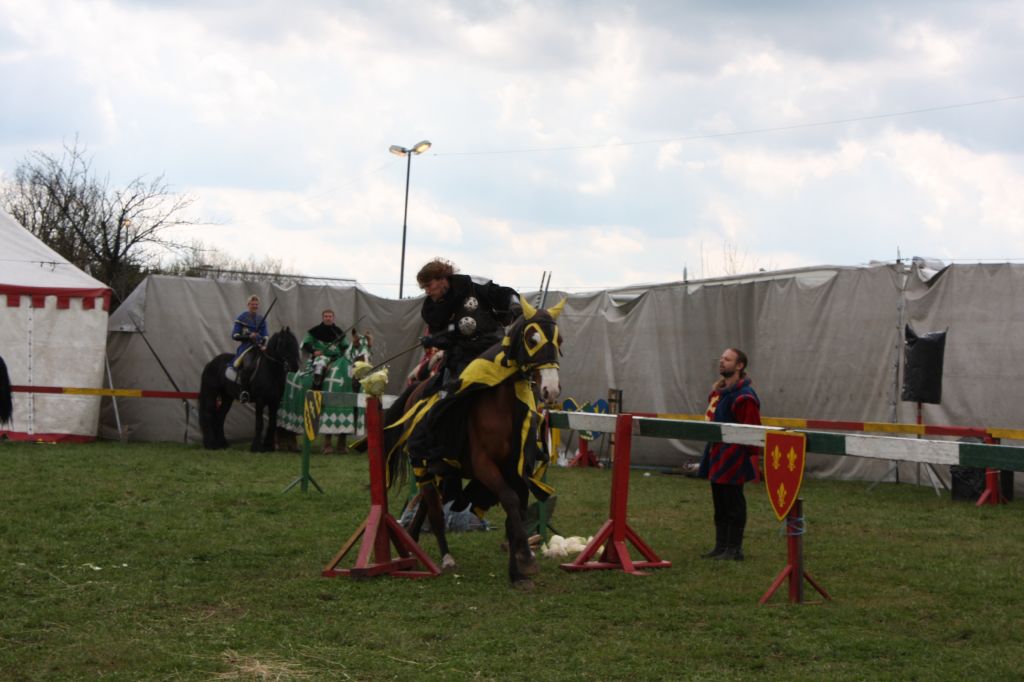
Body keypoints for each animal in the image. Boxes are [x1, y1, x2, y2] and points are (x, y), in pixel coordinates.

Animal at [384, 297, 565, 589]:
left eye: (559, 340)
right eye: (532, 338)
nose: (551, 390)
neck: (502, 407)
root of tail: (416, 389)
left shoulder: (516, 469)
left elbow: (516, 512)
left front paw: (518, 570)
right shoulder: (485, 467)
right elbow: (510, 502)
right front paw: (525, 560)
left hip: (443, 472)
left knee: (426, 506)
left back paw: (413, 545)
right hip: (423, 464)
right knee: (434, 510)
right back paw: (444, 557)